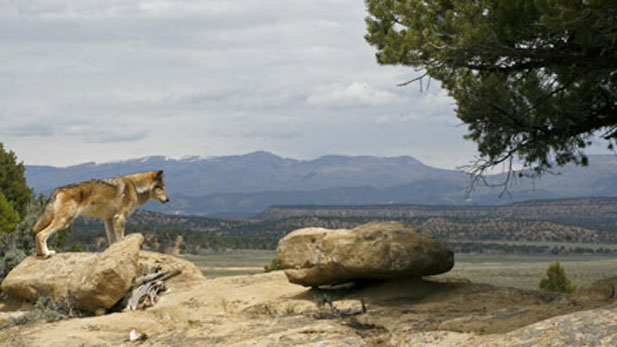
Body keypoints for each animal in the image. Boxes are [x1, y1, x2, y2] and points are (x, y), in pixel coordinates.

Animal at [31, 171, 168, 258]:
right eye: (160, 187)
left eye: (163, 187)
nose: (168, 200)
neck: (135, 187)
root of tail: (58, 190)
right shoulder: (119, 218)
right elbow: (120, 239)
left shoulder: (108, 219)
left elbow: (113, 241)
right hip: (64, 221)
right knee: (41, 234)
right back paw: (47, 253)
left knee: (37, 234)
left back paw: (40, 254)